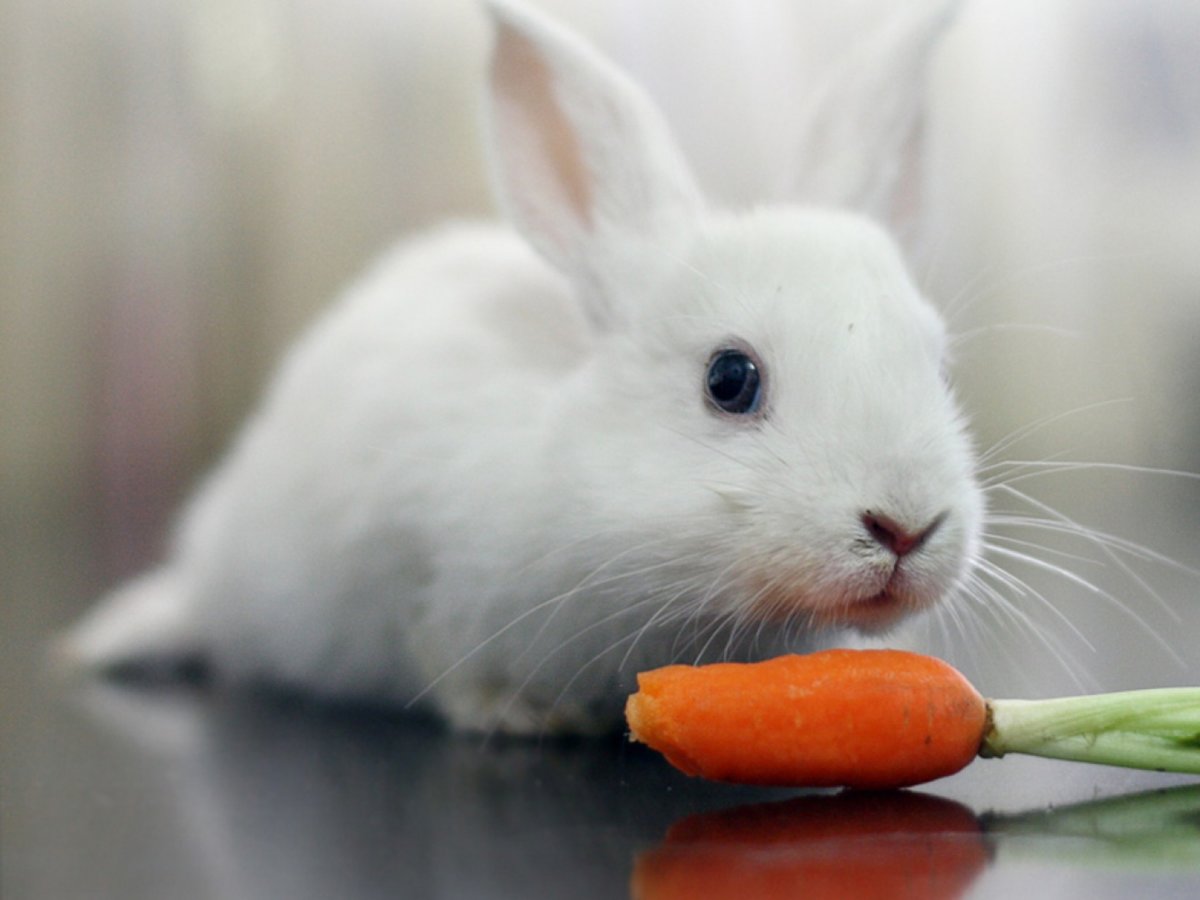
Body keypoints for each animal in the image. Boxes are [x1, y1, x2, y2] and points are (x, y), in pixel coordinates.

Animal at [61, 0, 983, 735]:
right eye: (730, 379)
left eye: (940, 365)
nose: (905, 527)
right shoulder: (416, 558)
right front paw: (520, 717)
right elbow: (442, 654)